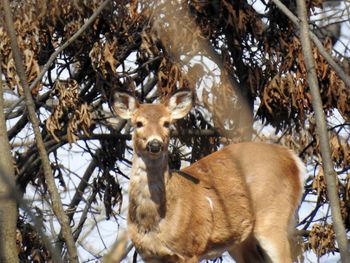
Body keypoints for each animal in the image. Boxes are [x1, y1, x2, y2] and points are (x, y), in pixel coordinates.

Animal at [113, 89, 306, 263]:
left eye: (167, 123)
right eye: (138, 123)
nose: (155, 144)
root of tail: (292, 158)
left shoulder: (190, 248)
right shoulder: (151, 256)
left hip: (273, 217)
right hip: (241, 239)